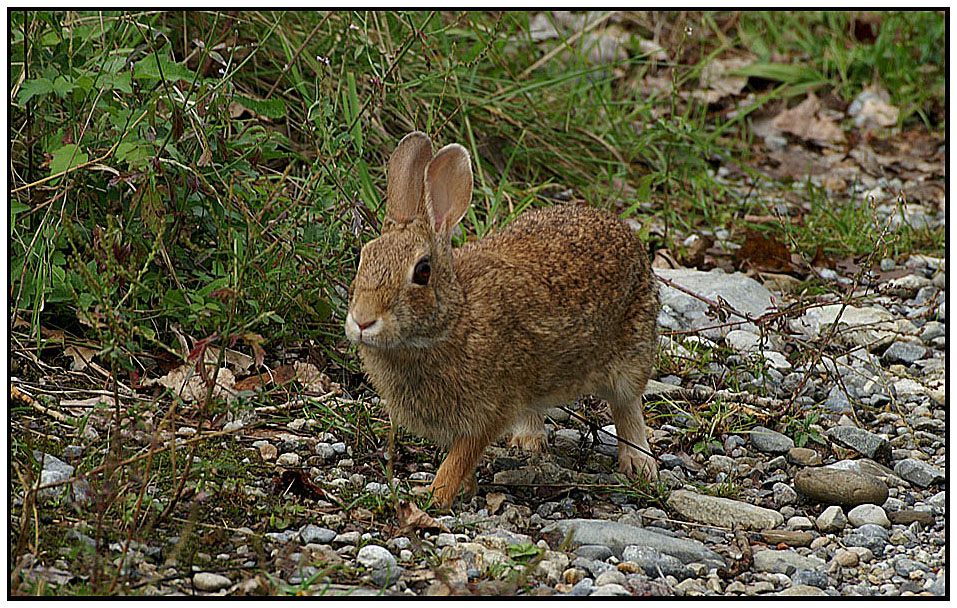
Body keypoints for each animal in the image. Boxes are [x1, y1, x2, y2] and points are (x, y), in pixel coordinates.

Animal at [348, 133, 660, 508]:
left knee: (628, 406)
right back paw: (528, 441)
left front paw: (436, 495)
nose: (362, 321)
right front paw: (463, 490)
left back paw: (640, 464)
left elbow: (460, 456)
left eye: (422, 272)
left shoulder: (488, 409)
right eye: (364, 257)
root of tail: (627, 234)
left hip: (632, 353)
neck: (455, 319)